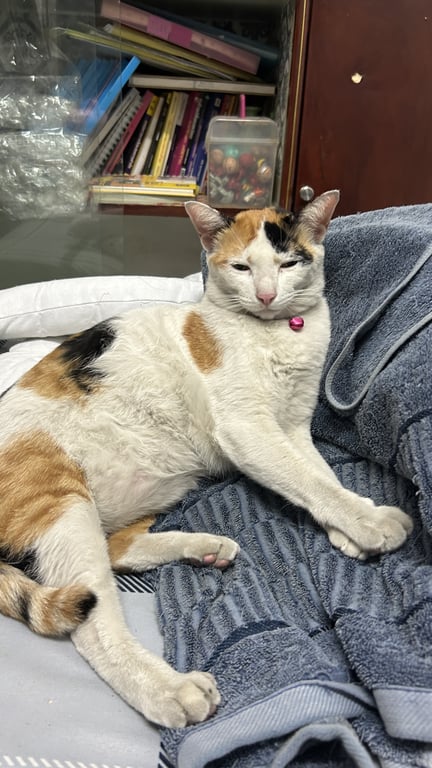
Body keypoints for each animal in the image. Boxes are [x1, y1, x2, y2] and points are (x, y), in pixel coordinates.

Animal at [0, 190, 412, 728]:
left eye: (287, 263)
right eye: (241, 267)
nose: (265, 295)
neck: (278, 332)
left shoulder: (294, 430)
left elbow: (319, 478)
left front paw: (350, 528)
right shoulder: (249, 431)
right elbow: (308, 482)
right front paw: (373, 523)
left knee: (117, 550)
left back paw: (206, 547)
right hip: (62, 504)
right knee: (94, 624)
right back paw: (171, 691)